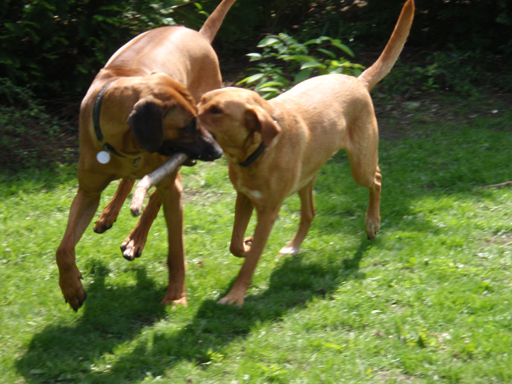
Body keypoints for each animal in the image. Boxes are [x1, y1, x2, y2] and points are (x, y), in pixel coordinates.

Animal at [57, 0, 237, 310]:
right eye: (188, 125)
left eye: (197, 118)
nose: (216, 151)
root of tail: (199, 34)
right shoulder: (87, 192)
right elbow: (64, 248)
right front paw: (71, 288)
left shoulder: (169, 181)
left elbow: (176, 252)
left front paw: (176, 295)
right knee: (132, 182)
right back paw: (110, 214)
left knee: (156, 195)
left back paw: (135, 238)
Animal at [197, 0, 416, 306]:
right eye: (202, 100)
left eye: (216, 111)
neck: (253, 155)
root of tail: (357, 81)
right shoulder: (244, 197)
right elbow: (235, 244)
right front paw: (246, 245)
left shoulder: (268, 212)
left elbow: (250, 262)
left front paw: (236, 295)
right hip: (307, 178)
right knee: (311, 212)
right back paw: (293, 247)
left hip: (360, 166)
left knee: (377, 177)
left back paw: (372, 223)